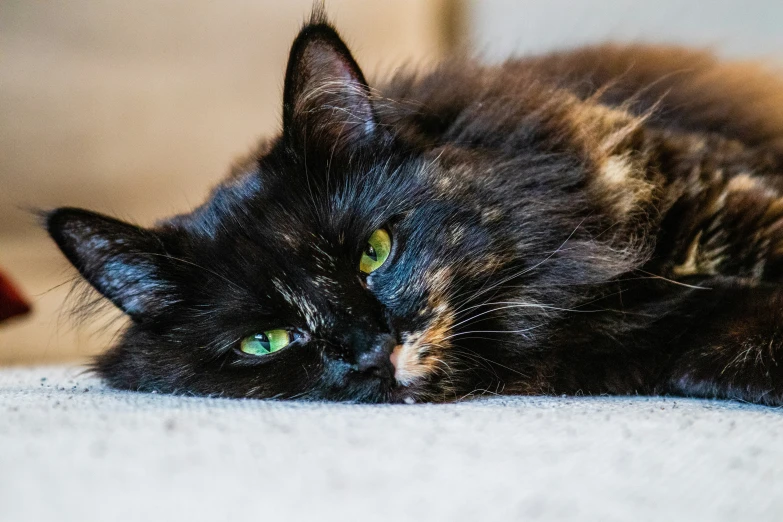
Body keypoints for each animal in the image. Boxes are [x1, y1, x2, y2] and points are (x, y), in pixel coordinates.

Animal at [44, 10, 783, 404]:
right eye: (265, 341)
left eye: (374, 252)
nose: (370, 348)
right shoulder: (661, 344)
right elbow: (724, 352)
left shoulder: (705, 194)